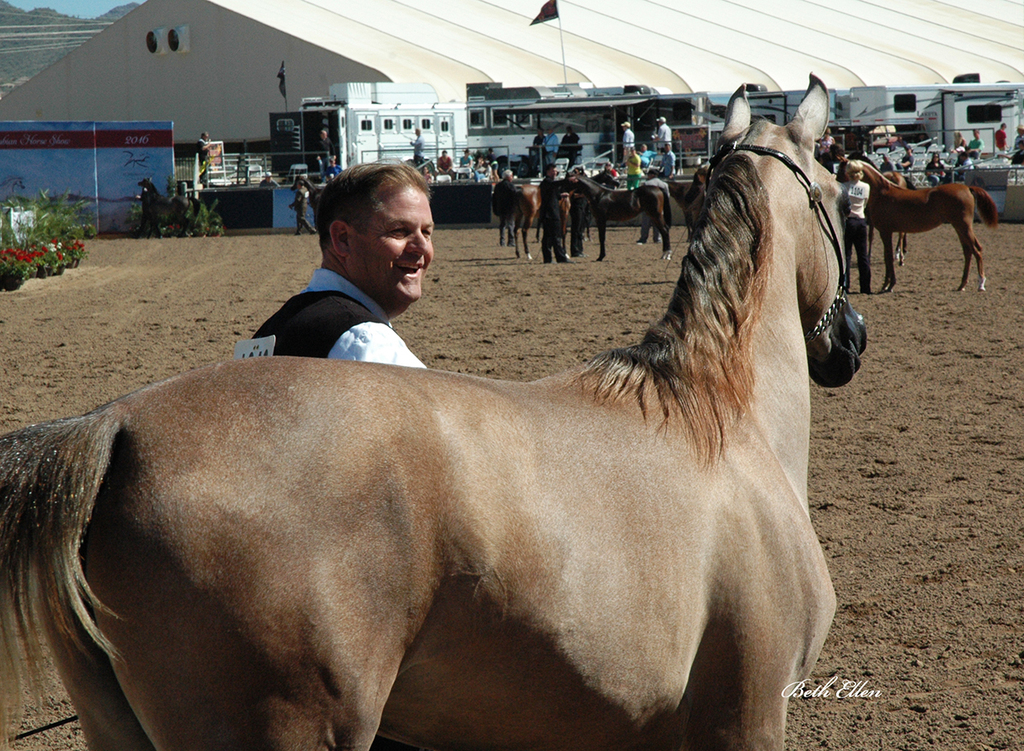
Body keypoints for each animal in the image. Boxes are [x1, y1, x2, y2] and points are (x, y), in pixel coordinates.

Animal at [854, 160, 999, 292]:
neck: (883, 193)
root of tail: (967, 188)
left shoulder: (885, 232)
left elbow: (888, 257)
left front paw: (889, 285)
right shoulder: (886, 232)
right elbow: (886, 256)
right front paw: (887, 283)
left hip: (963, 227)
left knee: (976, 251)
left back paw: (981, 284)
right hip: (959, 228)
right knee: (968, 252)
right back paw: (962, 285)